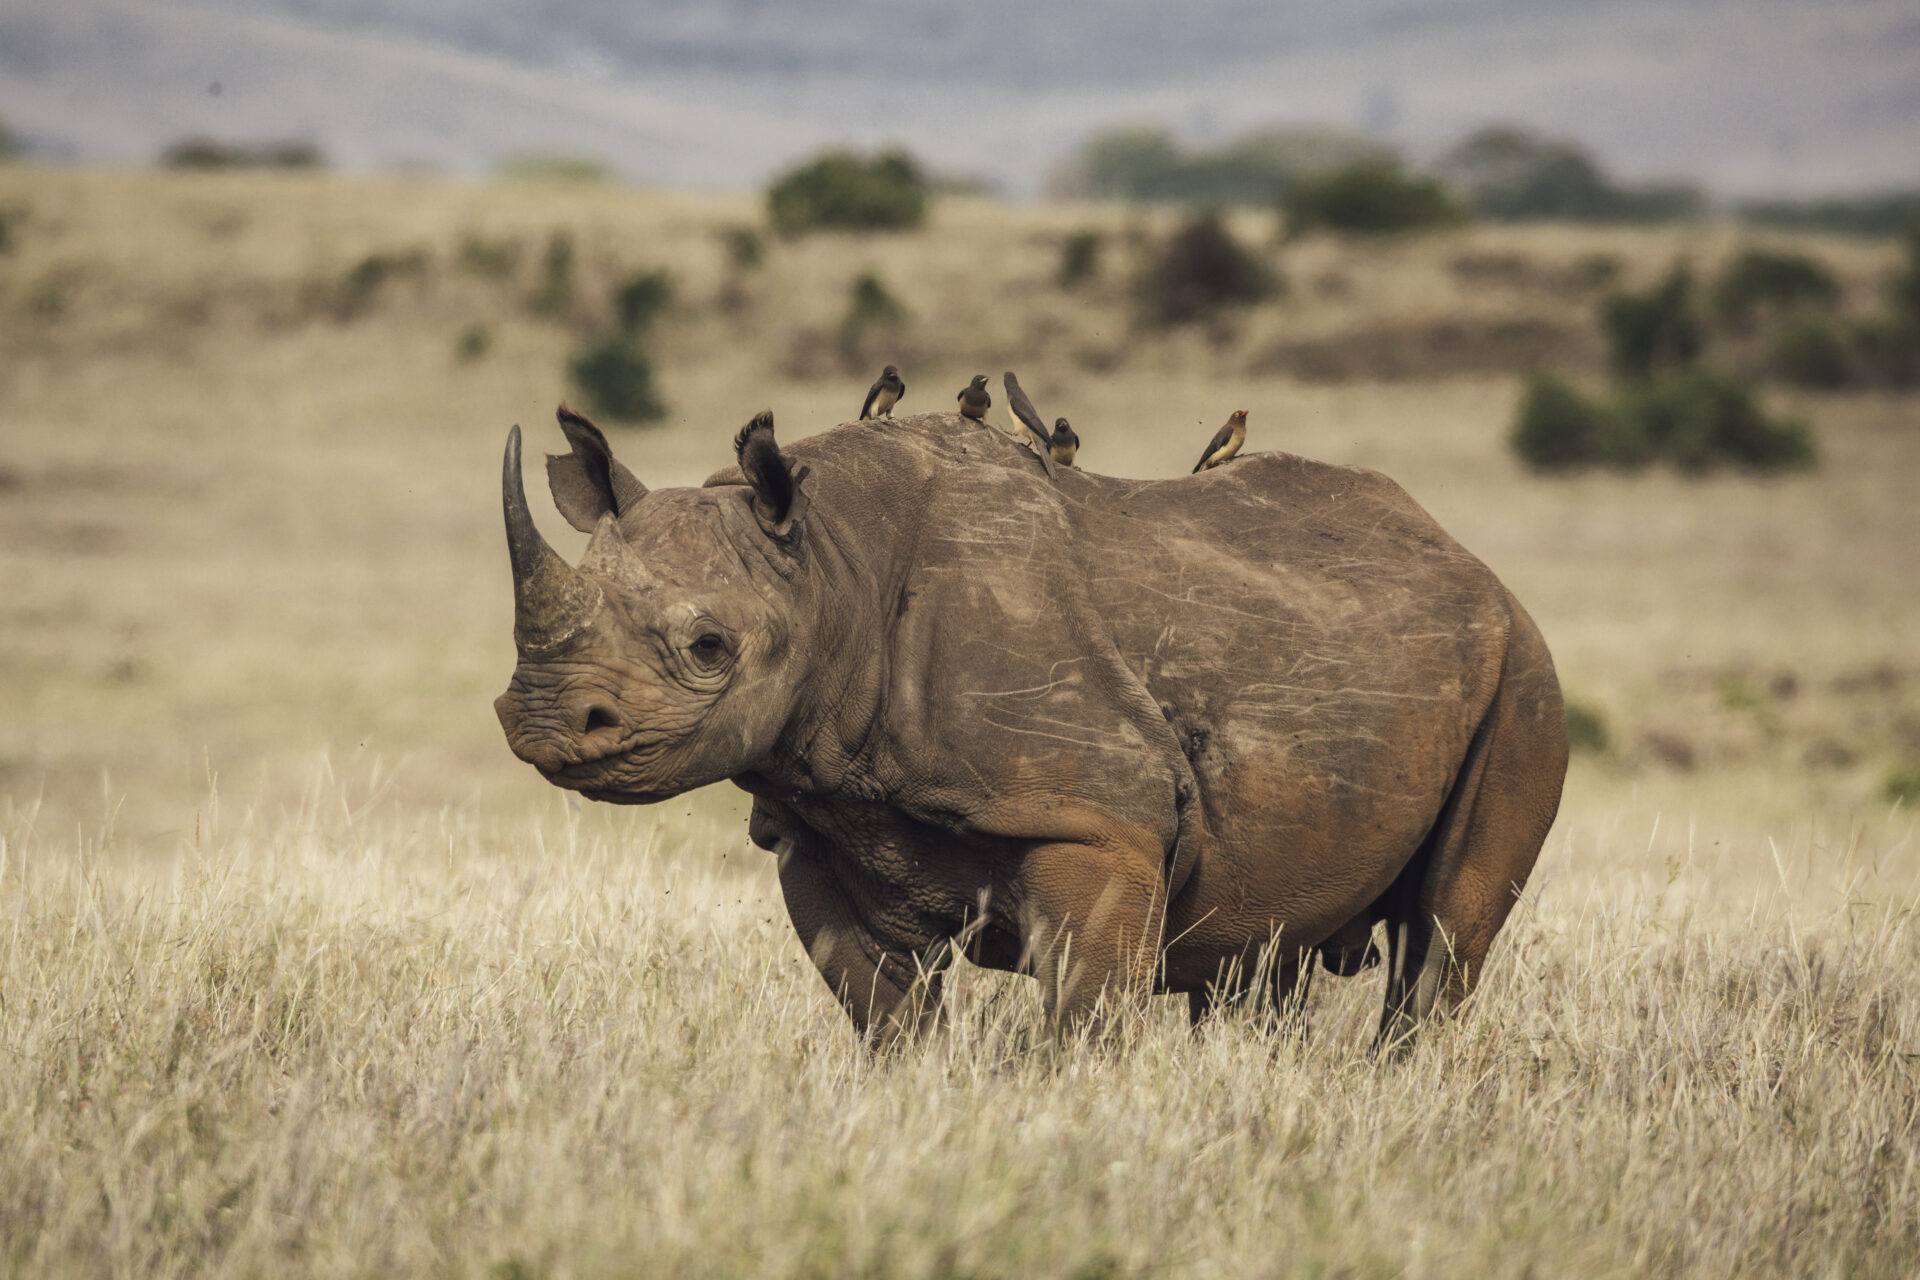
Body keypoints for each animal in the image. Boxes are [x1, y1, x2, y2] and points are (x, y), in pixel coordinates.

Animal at [494, 407, 1568, 1051]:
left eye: (709, 647)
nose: (543, 720)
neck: (831, 566)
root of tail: (1471, 562)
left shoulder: (1096, 822)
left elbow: (1086, 1015)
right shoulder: (816, 823)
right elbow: (886, 1018)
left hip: (1524, 674)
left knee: (1443, 937)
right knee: (1263, 951)